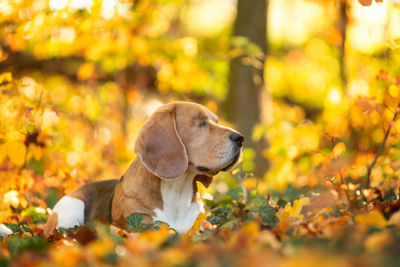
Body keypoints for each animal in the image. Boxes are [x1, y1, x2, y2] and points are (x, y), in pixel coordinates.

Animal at [1, 100, 242, 237]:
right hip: (72, 210)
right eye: (201, 123)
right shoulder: (140, 226)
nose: (240, 138)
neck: (175, 191)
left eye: (215, 121)